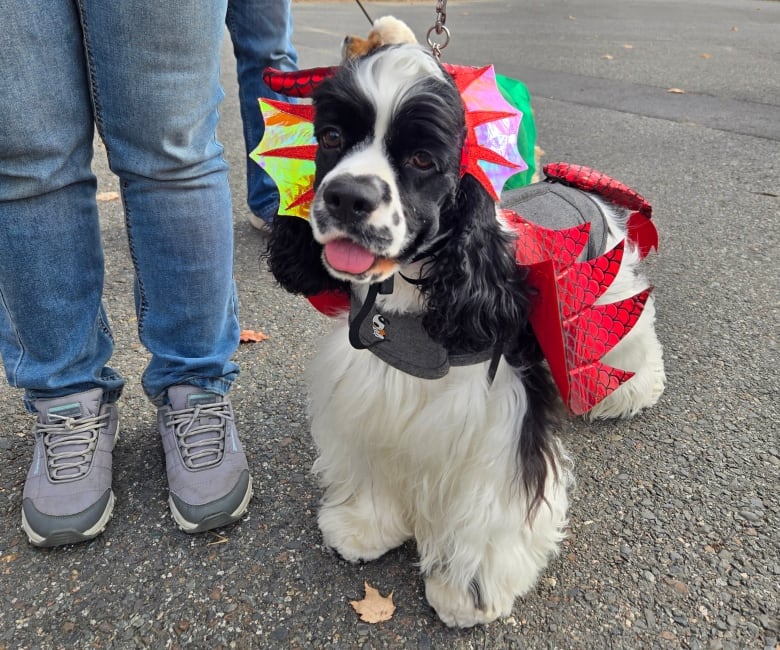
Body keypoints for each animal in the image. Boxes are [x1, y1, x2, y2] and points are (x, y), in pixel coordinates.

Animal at [266, 43, 660, 624]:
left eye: (422, 159)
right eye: (332, 136)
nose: (346, 197)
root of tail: (568, 181)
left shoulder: (499, 419)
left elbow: (489, 506)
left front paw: (467, 592)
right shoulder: (373, 390)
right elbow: (373, 461)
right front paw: (362, 528)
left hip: (609, 286)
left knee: (625, 334)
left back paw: (629, 392)